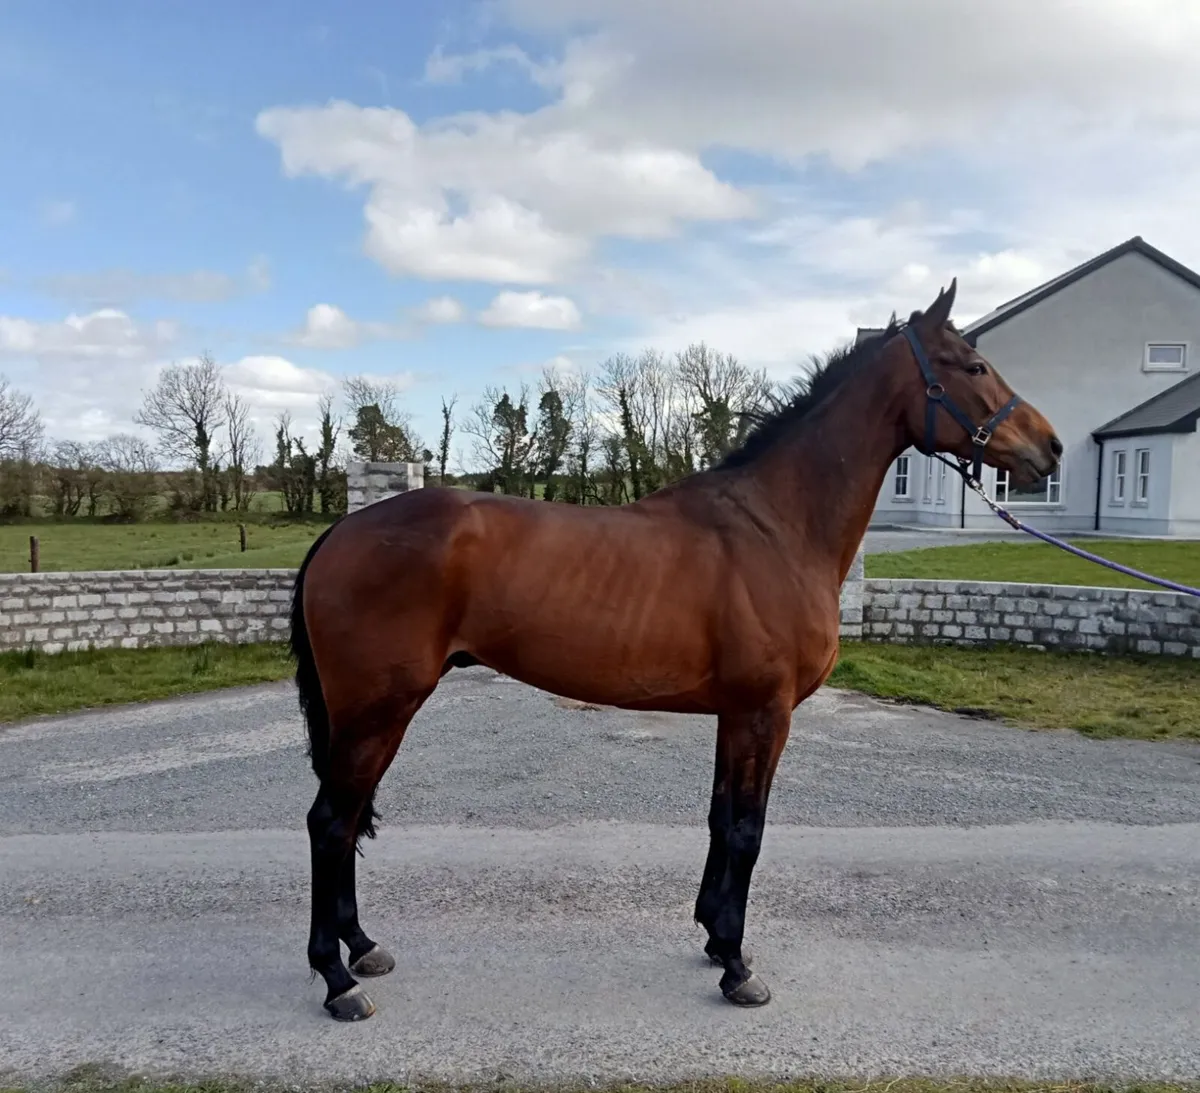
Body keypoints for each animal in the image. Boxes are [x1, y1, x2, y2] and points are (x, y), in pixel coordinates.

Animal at [289, 280, 1062, 1021]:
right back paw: (337, 979)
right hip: (379, 709)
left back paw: (362, 947)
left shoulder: (735, 714)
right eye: (973, 365)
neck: (777, 528)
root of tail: (342, 532)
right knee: (331, 822)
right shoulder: (765, 712)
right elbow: (747, 830)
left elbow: (721, 819)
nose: (1049, 448)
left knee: (347, 821)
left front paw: (716, 939)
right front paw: (740, 971)